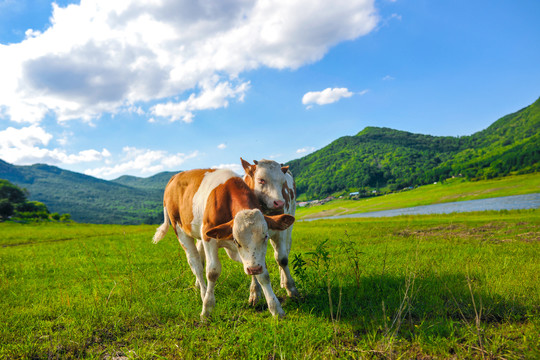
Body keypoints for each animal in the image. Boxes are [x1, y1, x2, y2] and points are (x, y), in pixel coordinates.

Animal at [152, 169, 296, 318]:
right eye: (236, 241)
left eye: (266, 236)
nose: (253, 269)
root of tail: (175, 176)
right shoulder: (208, 237)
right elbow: (212, 272)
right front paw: (207, 308)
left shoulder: (254, 258)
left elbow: (264, 275)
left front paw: (275, 308)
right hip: (180, 230)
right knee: (196, 264)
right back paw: (203, 293)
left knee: (200, 258)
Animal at [242, 158, 300, 304]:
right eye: (261, 180)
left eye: (282, 182)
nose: (280, 204)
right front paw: (254, 292)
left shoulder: (280, 231)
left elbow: (282, 259)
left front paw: (291, 289)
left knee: (284, 251)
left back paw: (283, 281)